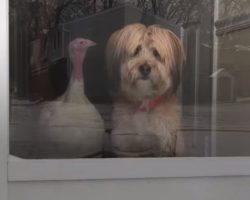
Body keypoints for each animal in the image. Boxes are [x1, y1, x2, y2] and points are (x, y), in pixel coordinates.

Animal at [105, 23, 186, 157]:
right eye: (136, 50)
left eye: (156, 53)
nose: (145, 68)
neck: (144, 103)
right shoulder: (125, 144)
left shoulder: (164, 144)